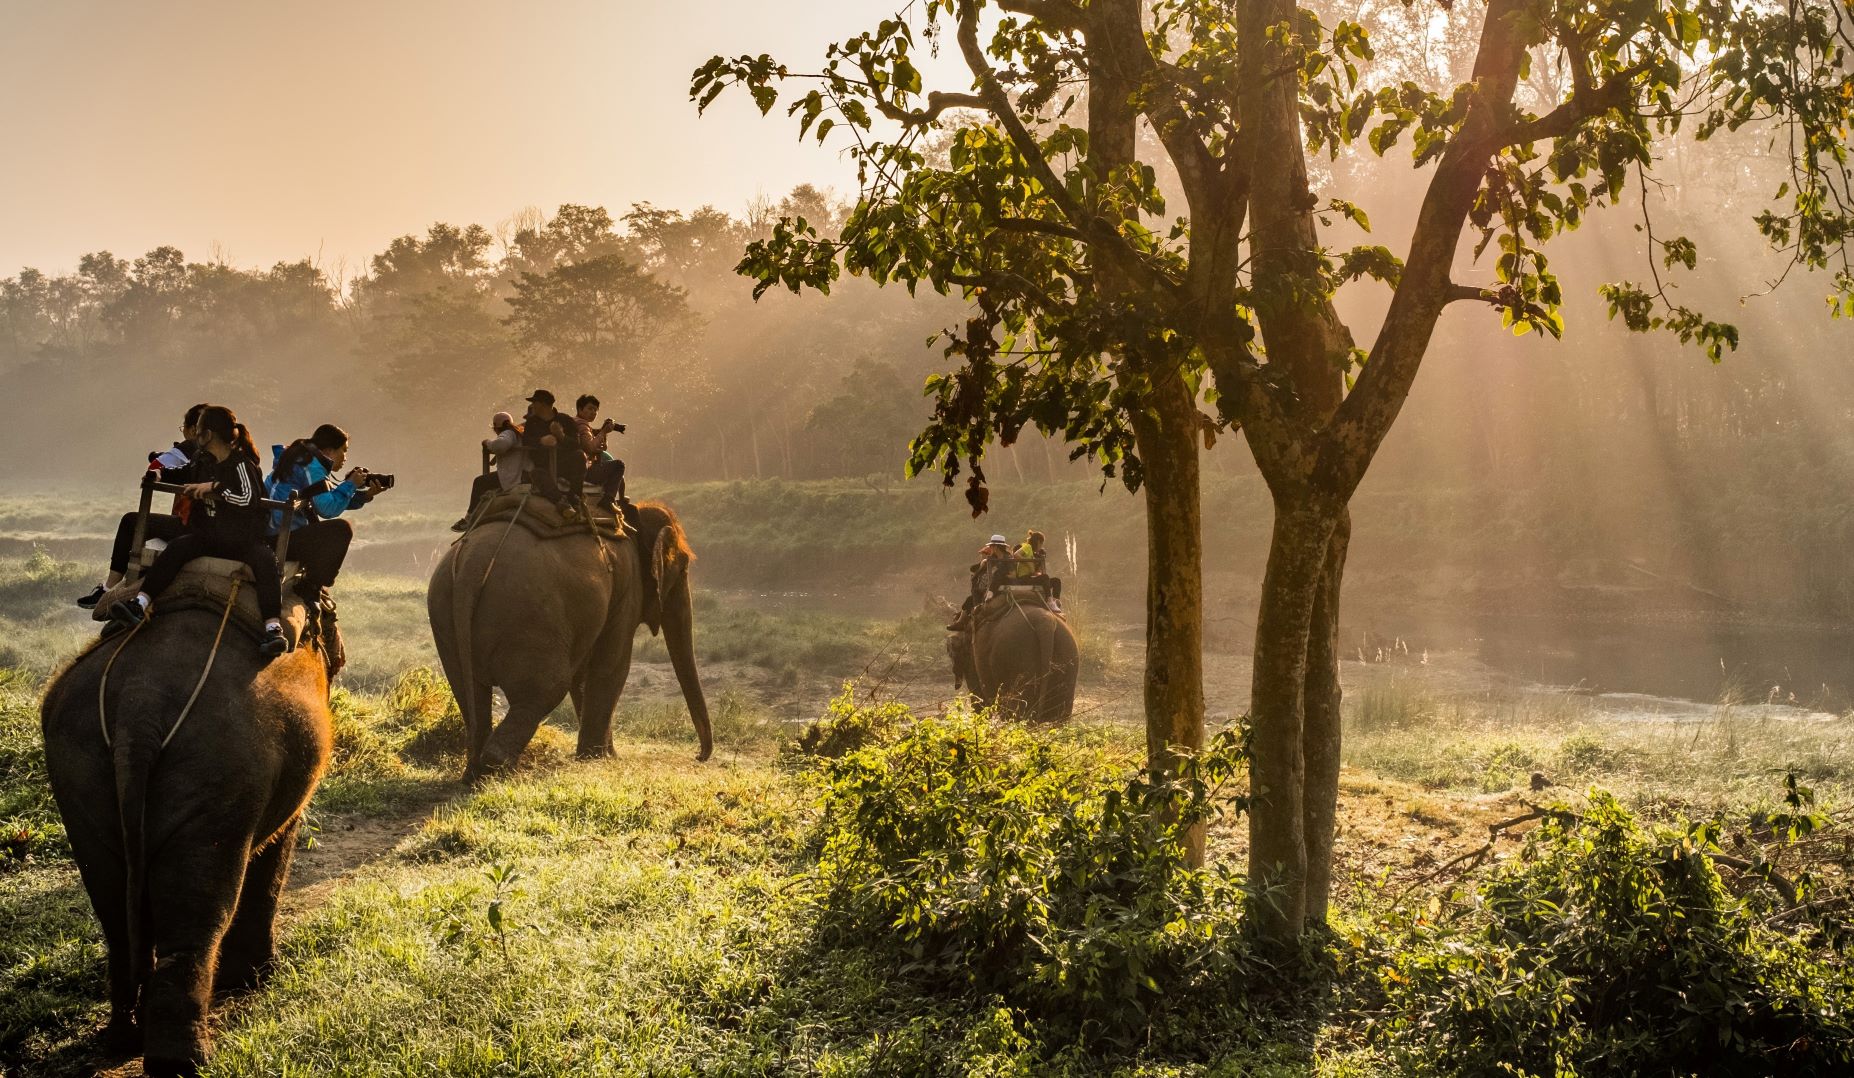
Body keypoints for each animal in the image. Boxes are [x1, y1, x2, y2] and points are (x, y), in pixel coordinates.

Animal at [41, 604, 339, 1068]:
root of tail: (139, 708)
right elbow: (278, 842)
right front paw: (255, 980)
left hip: (77, 769)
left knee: (114, 907)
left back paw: (125, 1038)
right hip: (218, 769)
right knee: (199, 905)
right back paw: (181, 1060)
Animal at [426, 493, 708, 779]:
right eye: (683, 568)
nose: (698, 756)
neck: (633, 517)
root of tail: (472, 567)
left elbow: (583, 674)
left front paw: (604, 755)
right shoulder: (627, 588)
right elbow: (611, 667)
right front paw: (598, 759)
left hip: (444, 613)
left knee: (469, 689)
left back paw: (474, 771)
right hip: (530, 618)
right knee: (548, 687)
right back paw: (500, 767)